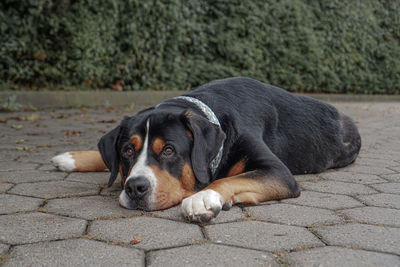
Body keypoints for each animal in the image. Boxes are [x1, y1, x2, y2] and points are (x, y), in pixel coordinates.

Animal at [51, 77, 360, 222]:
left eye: (169, 151)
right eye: (128, 150)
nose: (135, 188)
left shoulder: (278, 172)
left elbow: (227, 179)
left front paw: (202, 198)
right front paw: (71, 157)